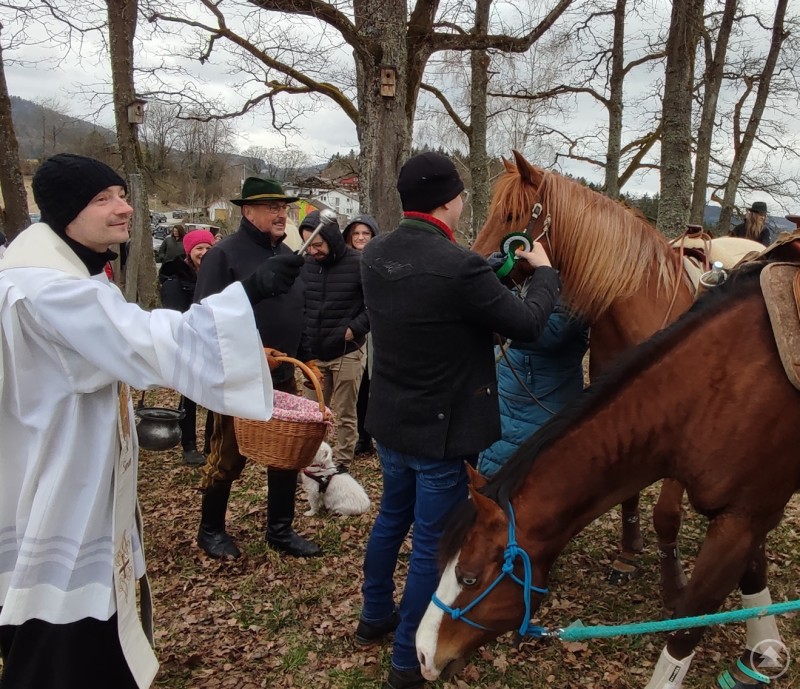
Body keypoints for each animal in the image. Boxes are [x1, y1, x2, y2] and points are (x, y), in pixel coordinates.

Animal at [416, 262, 800, 688]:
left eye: (468, 578)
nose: (422, 653)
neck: (715, 387)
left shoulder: (744, 517)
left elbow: (687, 627)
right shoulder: (748, 511)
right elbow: (754, 575)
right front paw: (762, 653)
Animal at [471, 150, 764, 608]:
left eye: (514, 215)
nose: (478, 265)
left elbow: (666, 514)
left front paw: (673, 582)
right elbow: (629, 495)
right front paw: (628, 554)